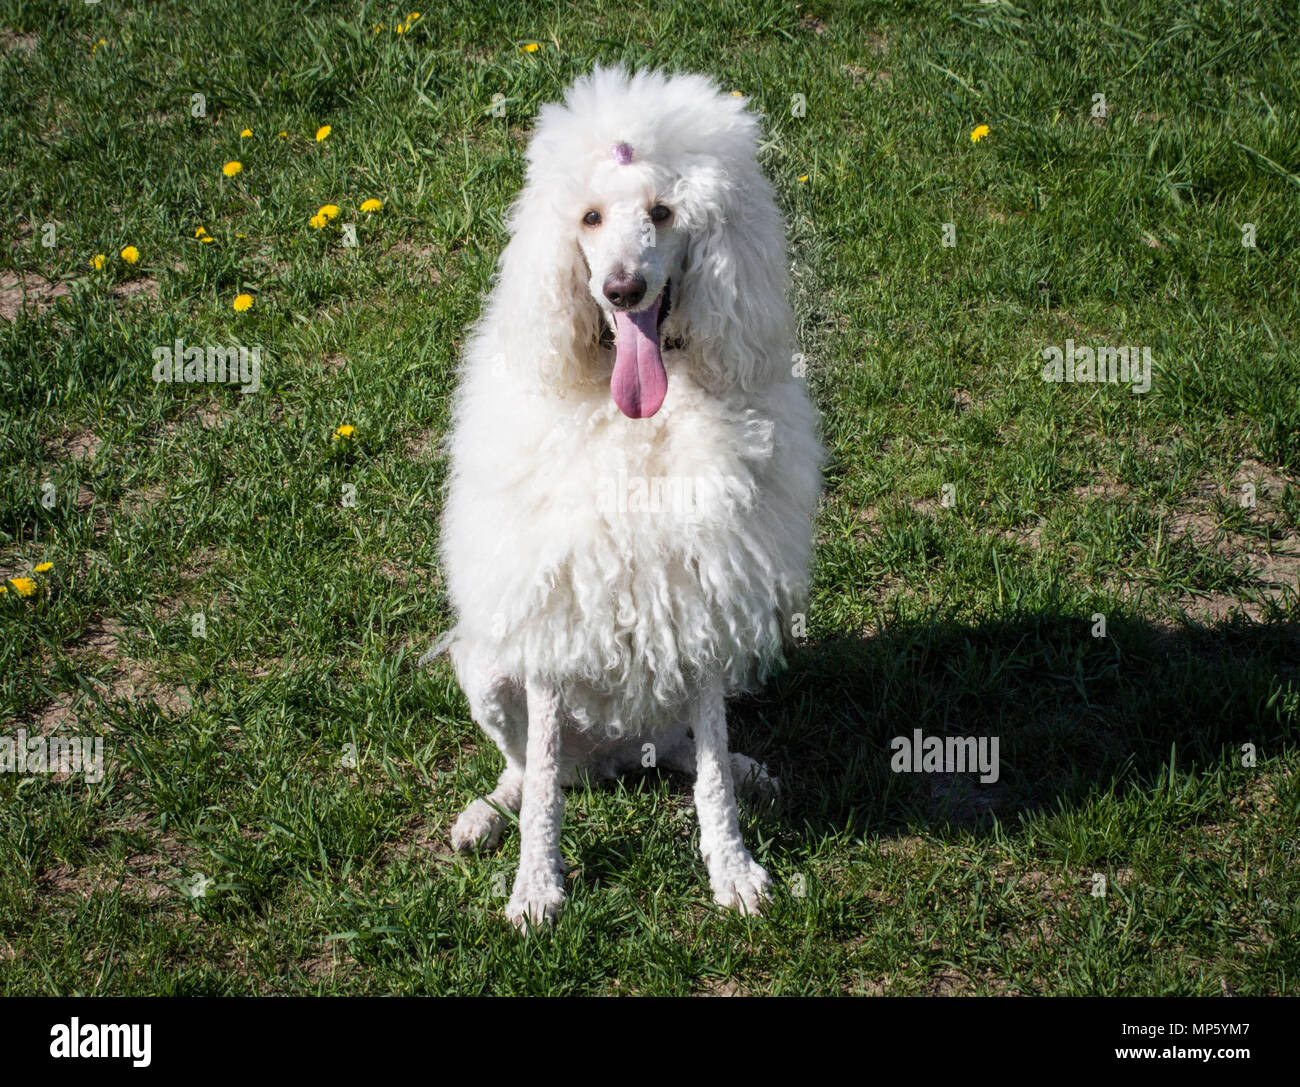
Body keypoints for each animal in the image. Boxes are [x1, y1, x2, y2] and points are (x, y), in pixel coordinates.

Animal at [436, 67, 821, 930]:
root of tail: (614, 756)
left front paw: (732, 868)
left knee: (687, 749)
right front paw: (536, 885)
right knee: (533, 769)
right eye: (588, 217)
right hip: (492, 667)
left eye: (663, 212)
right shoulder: (551, 614)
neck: (639, 416)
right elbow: (543, 792)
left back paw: (745, 770)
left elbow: (708, 774)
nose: (621, 288)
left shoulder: (706, 595)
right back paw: (487, 811)